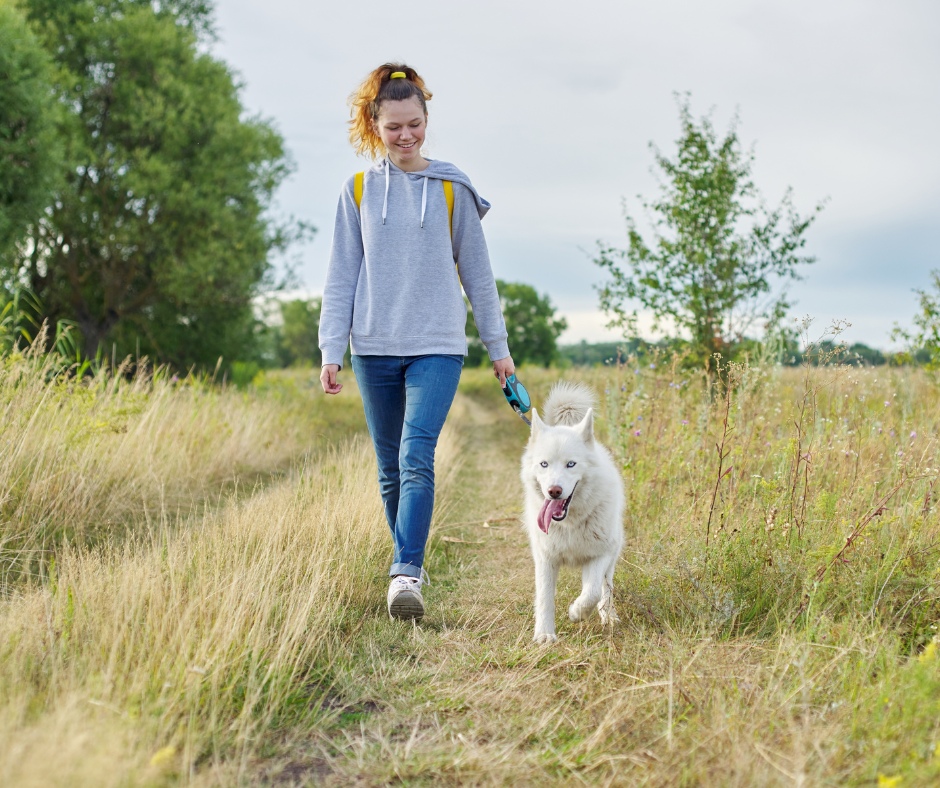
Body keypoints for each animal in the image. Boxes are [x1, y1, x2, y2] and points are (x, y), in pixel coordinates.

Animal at [520, 378, 624, 644]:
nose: (554, 491)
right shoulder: (545, 559)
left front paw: (577, 612)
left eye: (571, 464)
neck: (569, 524)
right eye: (544, 464)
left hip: (613, 551)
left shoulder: (599, 555)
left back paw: (608, 615)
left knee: (606, 588)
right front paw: (544, 634)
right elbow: (545, 598)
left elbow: (592, 592)